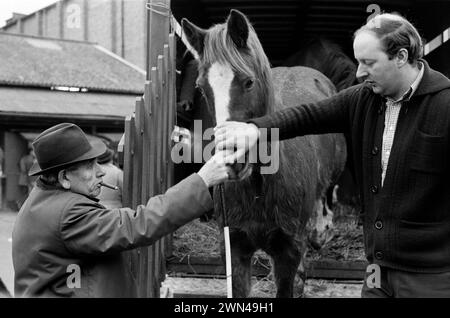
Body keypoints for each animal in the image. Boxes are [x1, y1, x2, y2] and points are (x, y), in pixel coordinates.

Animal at [182, 10, 348, 298]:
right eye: (202, 88)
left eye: (248, 82)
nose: (232, 161)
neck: (260, 186)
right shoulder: (235, 249)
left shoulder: (287, 252)